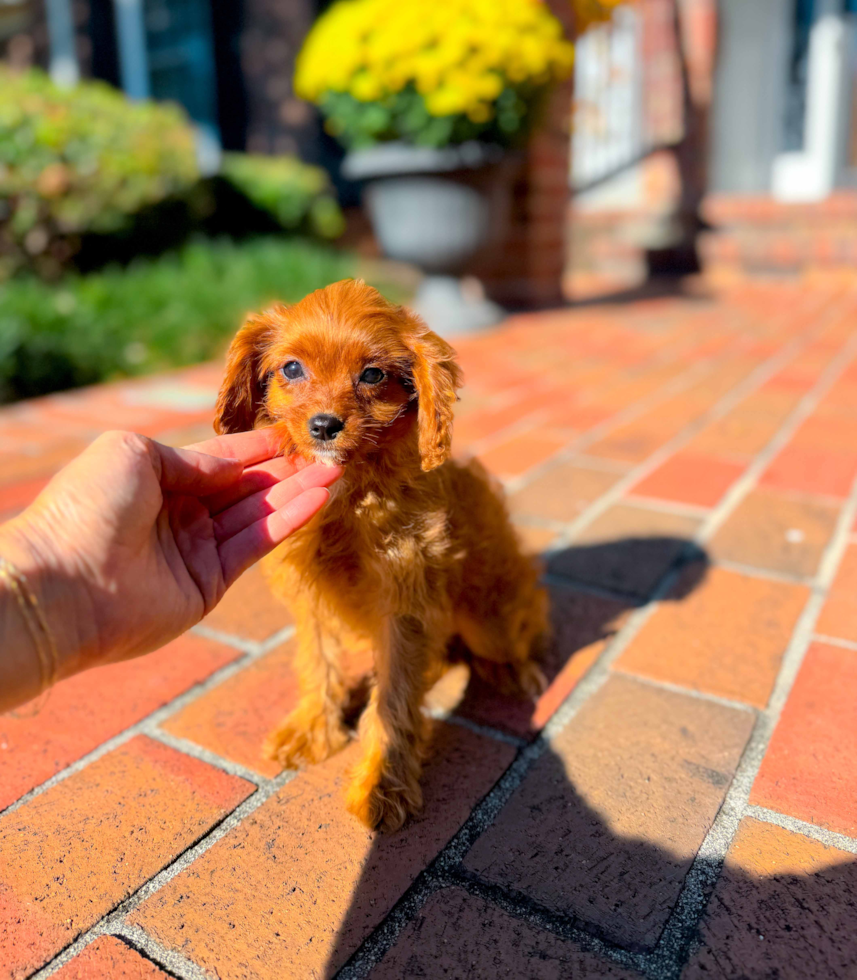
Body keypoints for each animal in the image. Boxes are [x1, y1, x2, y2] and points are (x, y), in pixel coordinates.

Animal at [216, 280, 548, 832]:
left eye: (373, 374)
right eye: (292, 369)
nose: (324, 425)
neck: (350, 494)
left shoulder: (406, 601)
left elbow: (394, 699)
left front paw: (381, 784)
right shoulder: (311, 596)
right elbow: (318, 662)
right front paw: (314, 729)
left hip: (490, 618)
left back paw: (513, 671)